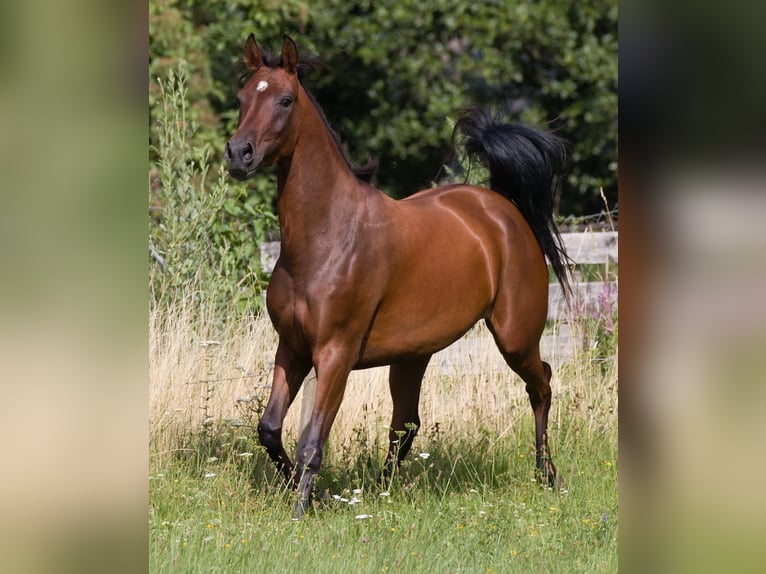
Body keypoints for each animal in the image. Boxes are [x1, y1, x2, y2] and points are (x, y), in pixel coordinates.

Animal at [222, 36, 568, 520]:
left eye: (285, 100)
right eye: (241, 98)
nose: (239, 154)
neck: (326, 237)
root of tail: (504, 210)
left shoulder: (335, 354)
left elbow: (311, 441)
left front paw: (301, 510)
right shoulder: (291, 348)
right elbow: (269, 429)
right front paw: (312, 493)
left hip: (515, 336)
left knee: (542, 384)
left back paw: (547, 475)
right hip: (412, 355)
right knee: (406, 423)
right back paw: (384, 490)